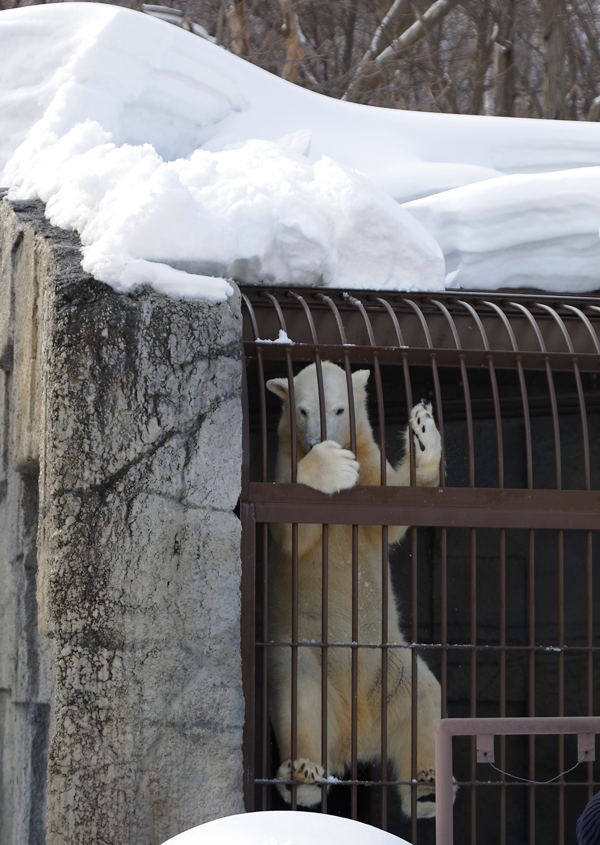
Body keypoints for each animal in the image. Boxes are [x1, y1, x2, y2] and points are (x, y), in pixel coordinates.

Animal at [268, 362, 446, 816]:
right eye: (303, 409)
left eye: (339, 408)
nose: (319, 440)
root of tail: (356, 738)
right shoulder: (282, 468)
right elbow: (291, 530)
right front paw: (329, 464)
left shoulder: (372, 472)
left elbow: (395, 517)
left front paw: (424, 432)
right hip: (309, 654)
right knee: (301, 699)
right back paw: (305, 776)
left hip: (391, 670)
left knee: (425, 700)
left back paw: (427, 787)